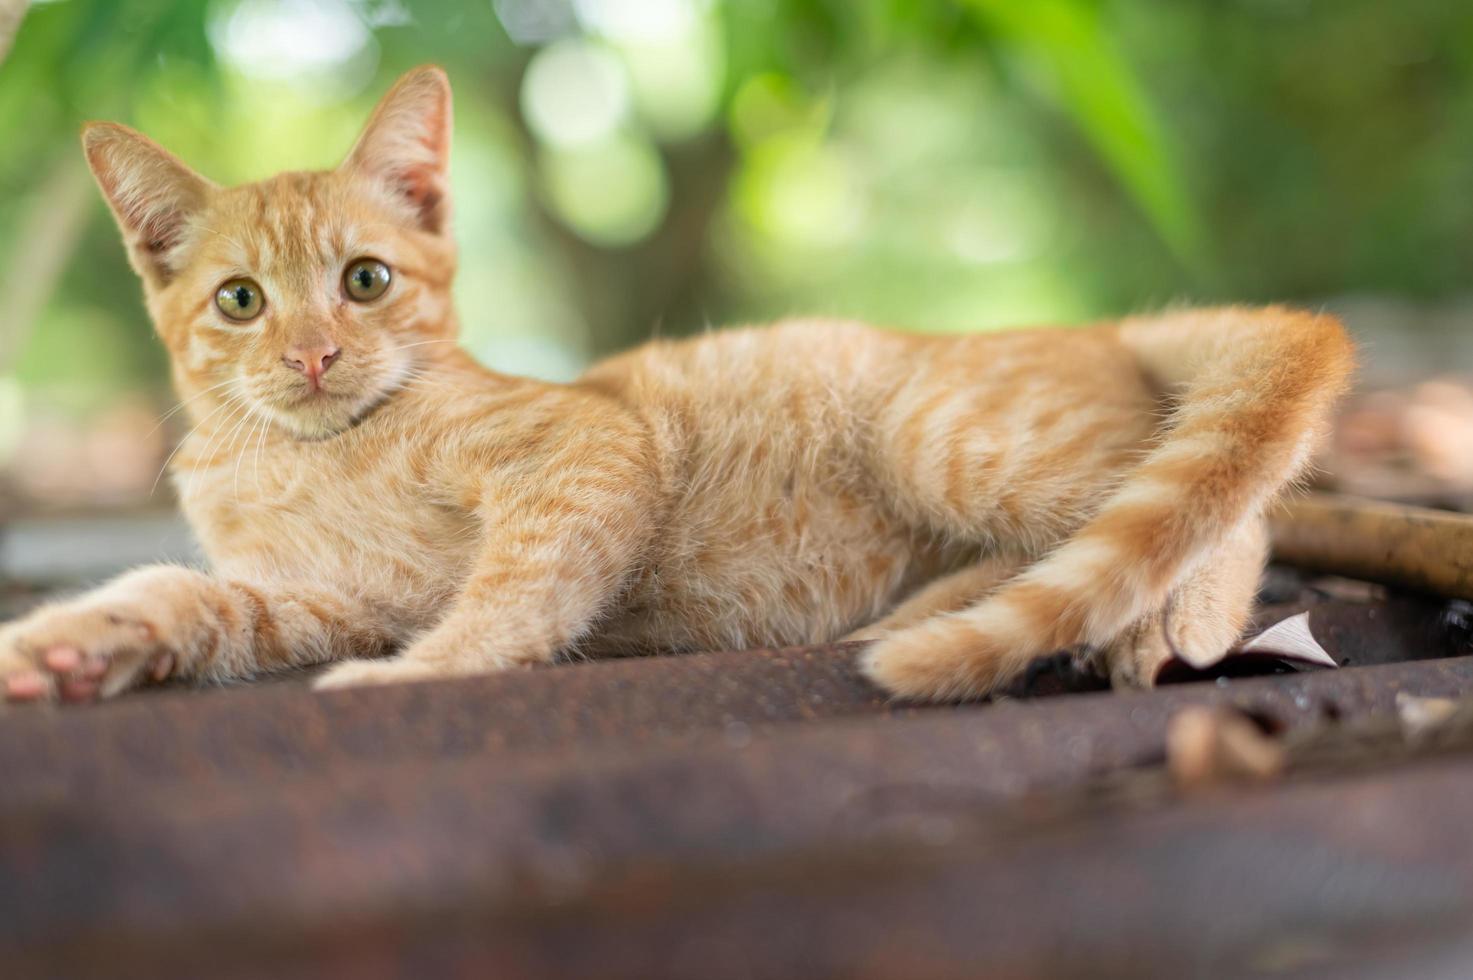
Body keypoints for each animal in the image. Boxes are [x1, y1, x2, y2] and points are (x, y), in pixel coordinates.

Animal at [0, 64, 1355, 704]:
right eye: (241, 300)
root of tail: (1109, 326)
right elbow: (187, 596)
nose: (313, 355)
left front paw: (424, 672)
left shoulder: (582, 449)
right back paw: (924, 612)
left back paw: (1172, 621)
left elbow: (517, 588)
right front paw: (72, 645)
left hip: (943, 435)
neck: (300, 452)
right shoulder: (318, 598)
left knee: (1217, 506)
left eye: (366, 280)